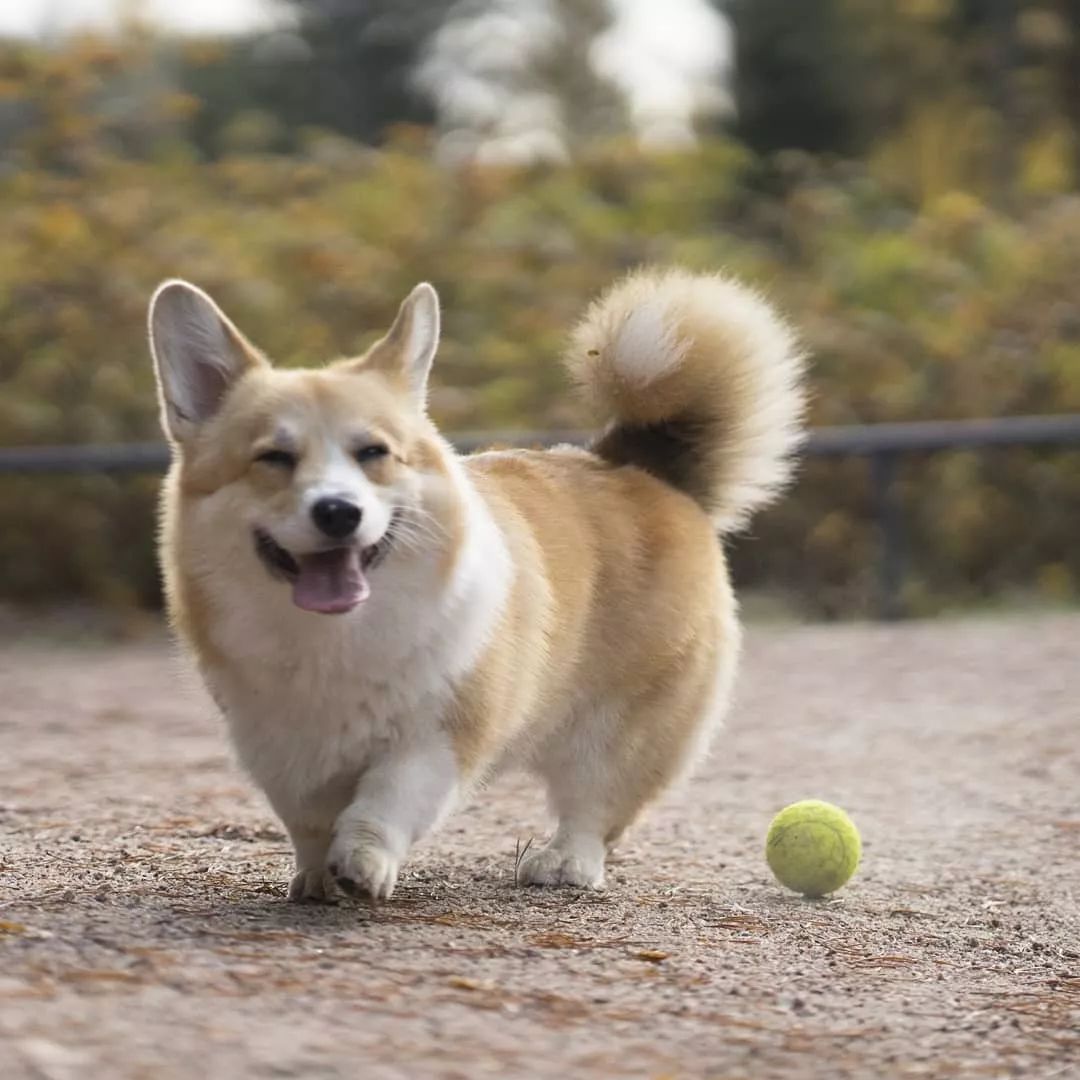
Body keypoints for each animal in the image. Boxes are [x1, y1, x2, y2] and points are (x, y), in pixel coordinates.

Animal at [152, 272, 807, 902]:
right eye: (273, 458)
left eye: (374, 453)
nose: (338, 511)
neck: (335, 639)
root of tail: (639, 467)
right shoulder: (279, 748)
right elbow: (308, 820)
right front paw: (316, 876)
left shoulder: (439, 734)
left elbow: (385, 802)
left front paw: (362, 864)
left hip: (621, 725)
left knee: (595, 802)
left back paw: (565, 863)